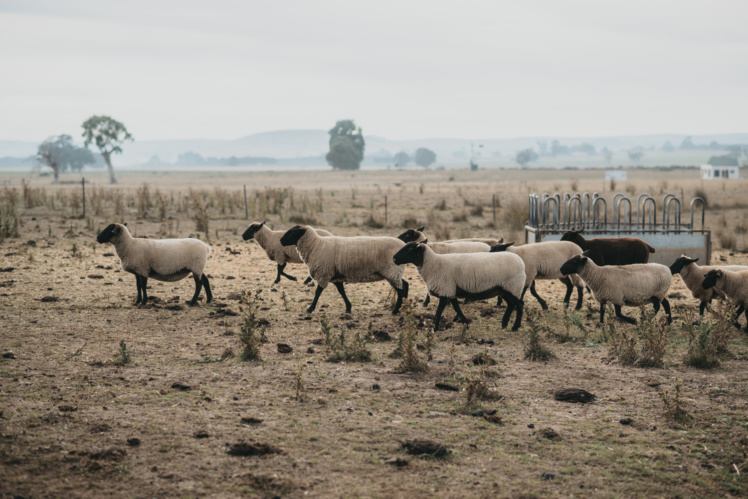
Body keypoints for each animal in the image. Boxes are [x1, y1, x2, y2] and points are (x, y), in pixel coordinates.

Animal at [280, 225, 410, 314]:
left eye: (292, 232)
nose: (281, 241)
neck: (316, 246)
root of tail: (402, 244)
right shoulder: (336, 276)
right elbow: (341, 292)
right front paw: (348, 307)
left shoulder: (324, 274)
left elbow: (317, 293)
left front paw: (310, 309)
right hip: (394, 272)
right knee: (404, 284)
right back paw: (404, 301)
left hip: (392, 272)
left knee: (400, 290)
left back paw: (395, 310)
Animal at [392, 242, 524, 332]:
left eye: (410, 248)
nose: (394, 258)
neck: (434, 264)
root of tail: (521, 262)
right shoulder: (450, 291)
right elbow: (457, 308)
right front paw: (465, 323)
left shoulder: (445, 289)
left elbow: (439, 311)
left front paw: (435, 328)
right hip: (504, 289)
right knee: (511, 305)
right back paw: (504, 324)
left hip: (513, 286)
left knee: (519, 305)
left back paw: (515, 327)